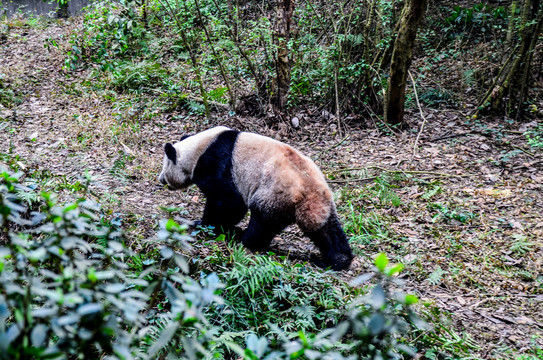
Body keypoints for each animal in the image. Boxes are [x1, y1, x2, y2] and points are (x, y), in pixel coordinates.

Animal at [158, 126, 352, 270]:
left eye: (165, 165)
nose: (161, 180)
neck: (198, 149)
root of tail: (307, 192)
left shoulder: (216, 164)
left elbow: (229, 202)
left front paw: (205, 224)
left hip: (274, 193)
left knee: (262, 221)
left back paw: (243, 238)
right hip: (322, 202)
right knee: (326, 230)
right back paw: (338, 259)